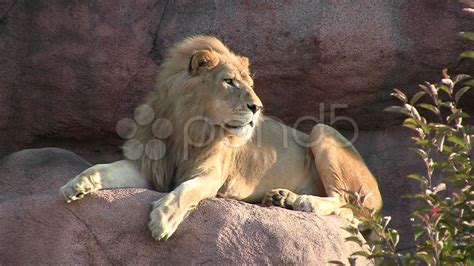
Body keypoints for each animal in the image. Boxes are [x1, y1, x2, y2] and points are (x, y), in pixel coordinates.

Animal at [61, 34, 384, 240]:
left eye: (250, 84)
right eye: (229, 81)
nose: (258, 107)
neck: (187, 125)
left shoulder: (211, 176)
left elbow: (185, 191)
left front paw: (163, 219)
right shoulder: (149, 167)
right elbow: (102, 168)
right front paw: (74, 185)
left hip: (322, 131)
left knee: (349, 208)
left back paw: (303, 201)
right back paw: (280, 198)